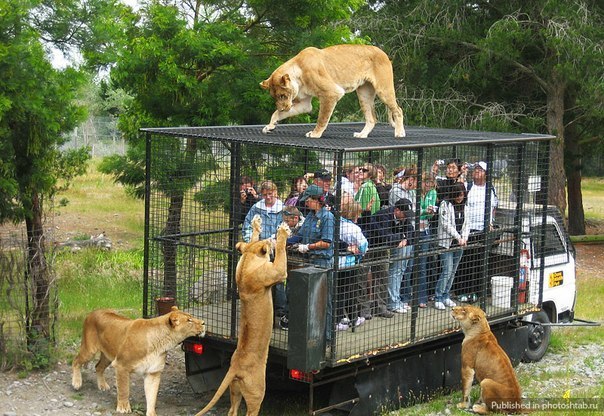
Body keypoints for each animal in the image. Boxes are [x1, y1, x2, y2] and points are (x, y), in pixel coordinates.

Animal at [196, 218, 290, 416]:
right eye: (269, 242)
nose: (270, 238)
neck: (247, 259)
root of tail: (235, 367)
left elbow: (251, 239)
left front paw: (256, 224)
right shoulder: (277, 272)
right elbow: (281, 254)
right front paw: (282, 232)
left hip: (235, 390)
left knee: (232, 411)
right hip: (257, 392)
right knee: (250, 411)